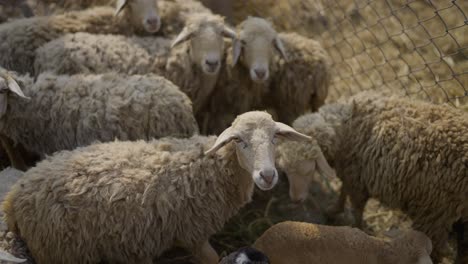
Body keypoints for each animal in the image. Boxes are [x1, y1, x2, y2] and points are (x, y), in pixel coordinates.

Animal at [2, 111, 310, 264]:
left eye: (275, 138)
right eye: (239, 141)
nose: (267, 175)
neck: (209, 166)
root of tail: (15, 197)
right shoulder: (193, 233)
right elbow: (212, 258)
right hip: (57, 249)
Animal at [276, 91, 468, 262]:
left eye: (308, 170)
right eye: (286, 170)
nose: (295, 199)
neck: (347, 127)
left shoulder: (356, 178)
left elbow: (357, 208)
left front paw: (356, 229)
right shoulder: (351, 172)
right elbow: (343, 191)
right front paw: (334, 210)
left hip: (435, 212)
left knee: (436, 250)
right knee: (463, 249)